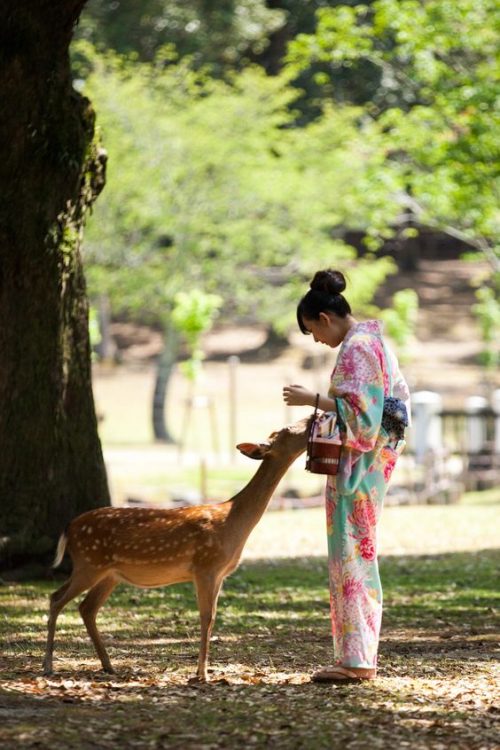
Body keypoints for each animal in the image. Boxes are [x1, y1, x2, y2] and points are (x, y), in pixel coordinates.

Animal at [42, 418, 308, 680]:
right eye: (288, 429)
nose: (310, 420)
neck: (233, 521)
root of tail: (69, 528)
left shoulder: (220, 574)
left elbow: (212, 617)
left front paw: (203, 670)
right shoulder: (206, 566)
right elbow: (206, 616)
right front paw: (202, 673)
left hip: (109, 573)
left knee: (86, 607)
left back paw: (108, 665)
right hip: (89, 563)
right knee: (57, 598)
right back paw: (48, 665)